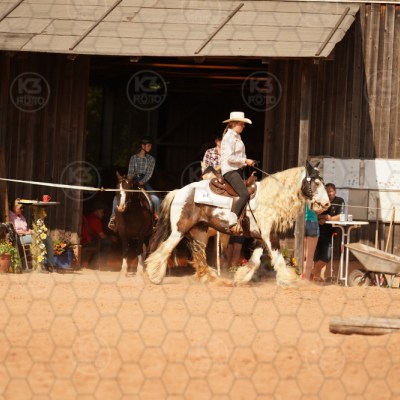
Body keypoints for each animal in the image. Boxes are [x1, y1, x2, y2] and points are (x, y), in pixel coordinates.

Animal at [146, 161, 330, 286]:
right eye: (316, 182)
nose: (326, 204)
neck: (269, 198)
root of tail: (179, 192)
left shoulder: (261, 237)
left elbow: (255, 260)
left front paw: (241, 277)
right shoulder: (270, 235)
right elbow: (278, 258)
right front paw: (287, 280)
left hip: (199, 231)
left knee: (199, 254)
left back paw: (209, 277)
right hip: (180, 229)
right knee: (166, 248)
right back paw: (154, 275)